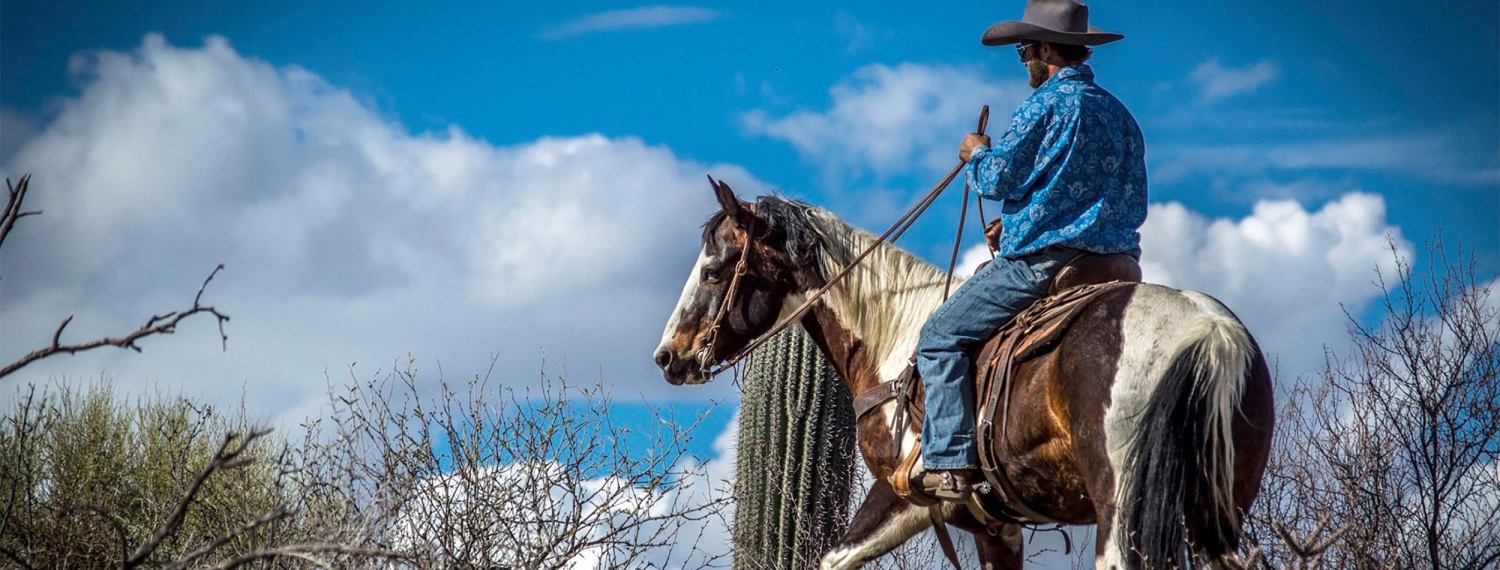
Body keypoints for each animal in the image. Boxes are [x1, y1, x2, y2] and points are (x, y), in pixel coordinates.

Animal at [660, 183, 1278, 570]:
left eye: (713, 270)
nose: (668, 356)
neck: (895, 339)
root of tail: (1210, 333)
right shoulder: (994, 526)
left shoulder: (905, 493)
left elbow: (832, 558)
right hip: (1213, 516)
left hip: (1125, 516)